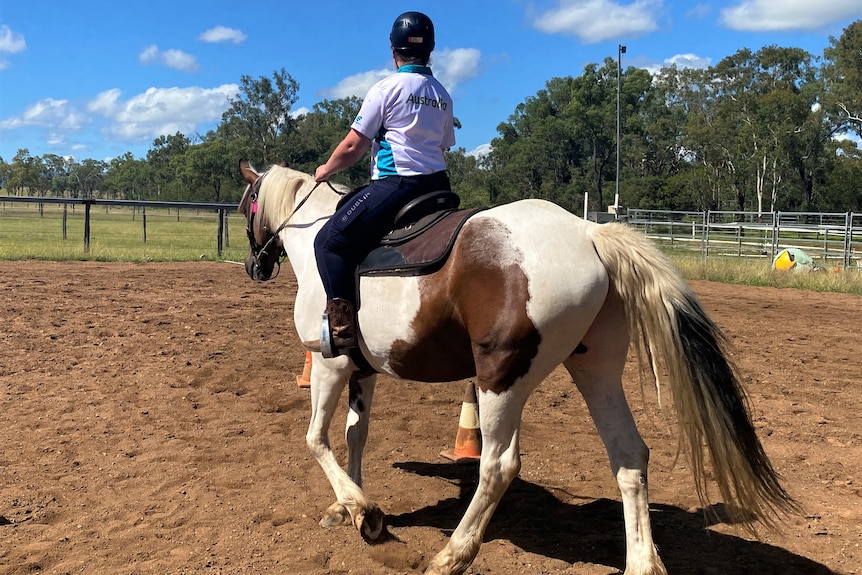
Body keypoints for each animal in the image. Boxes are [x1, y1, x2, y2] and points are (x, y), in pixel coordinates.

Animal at [235, 161, 796, 575]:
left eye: (247, 204)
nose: (254, 266)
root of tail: (588, 232)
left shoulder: (328, 361)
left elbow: (316, 438)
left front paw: (365, 512)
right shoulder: (364, 368)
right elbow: (356, 435)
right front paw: (350, 508)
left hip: (500, 378)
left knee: (498, 465)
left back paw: (452, 555)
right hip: (595, 371)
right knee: (629, 456)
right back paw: (642, 562)